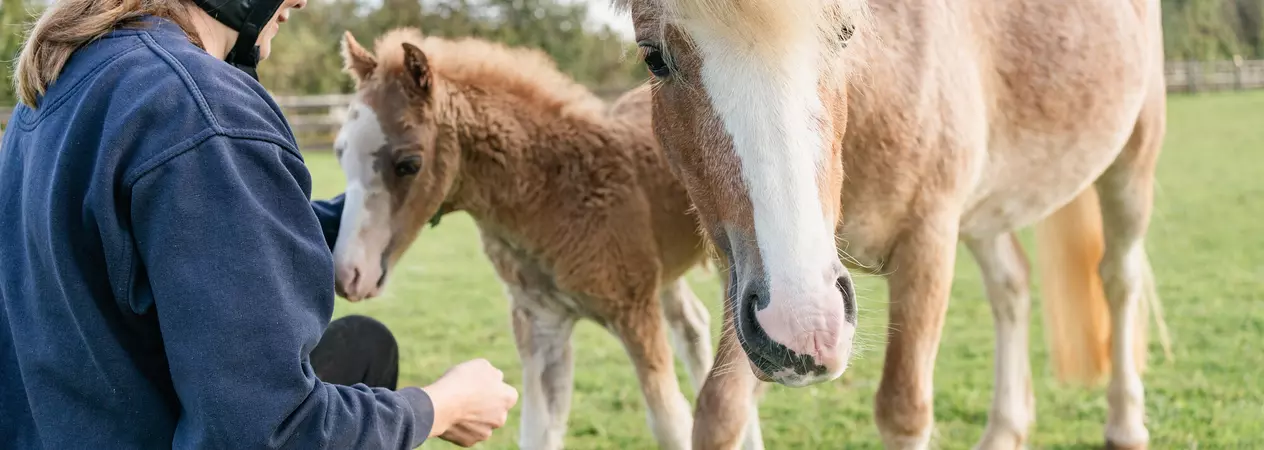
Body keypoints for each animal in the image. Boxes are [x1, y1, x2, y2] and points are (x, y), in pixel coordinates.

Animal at [327, 28, 722, 450]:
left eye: (408, 164)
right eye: (340, 154)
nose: (348, 274)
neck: (555, 196)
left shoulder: (635, 312)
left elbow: (670, 423)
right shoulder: (541, 324)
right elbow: (538, 431)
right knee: (693, 327)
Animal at [609, 0, 1173, 448]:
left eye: (845, 33)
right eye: (654, 57)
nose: (806, 325)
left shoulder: (928, 243)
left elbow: (903, 410)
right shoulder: (750, 277)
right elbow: (720, 409)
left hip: (1132, 166)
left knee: (1118, 279)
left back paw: (1126, 425)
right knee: (1011, 286)